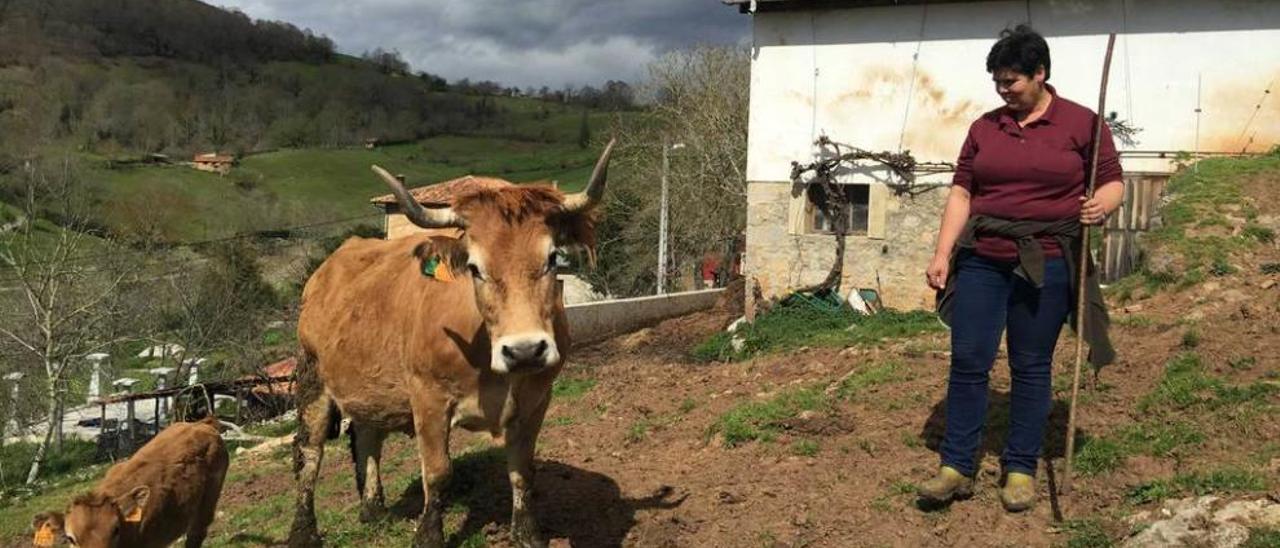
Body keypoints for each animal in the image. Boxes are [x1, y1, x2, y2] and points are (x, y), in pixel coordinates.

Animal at [288, 138, 616, 545]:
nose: (524, 350)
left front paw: (527, 533)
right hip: (312, 379)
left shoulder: (537, 399)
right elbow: (438, 472)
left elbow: (522, 470)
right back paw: (303, 531)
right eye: (474, 267)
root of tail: (326, 269)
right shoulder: (428, 399)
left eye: (553, 257)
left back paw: (373, 510)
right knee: (309, 453)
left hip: (368, 384)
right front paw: (429, 535)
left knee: (368, 435)